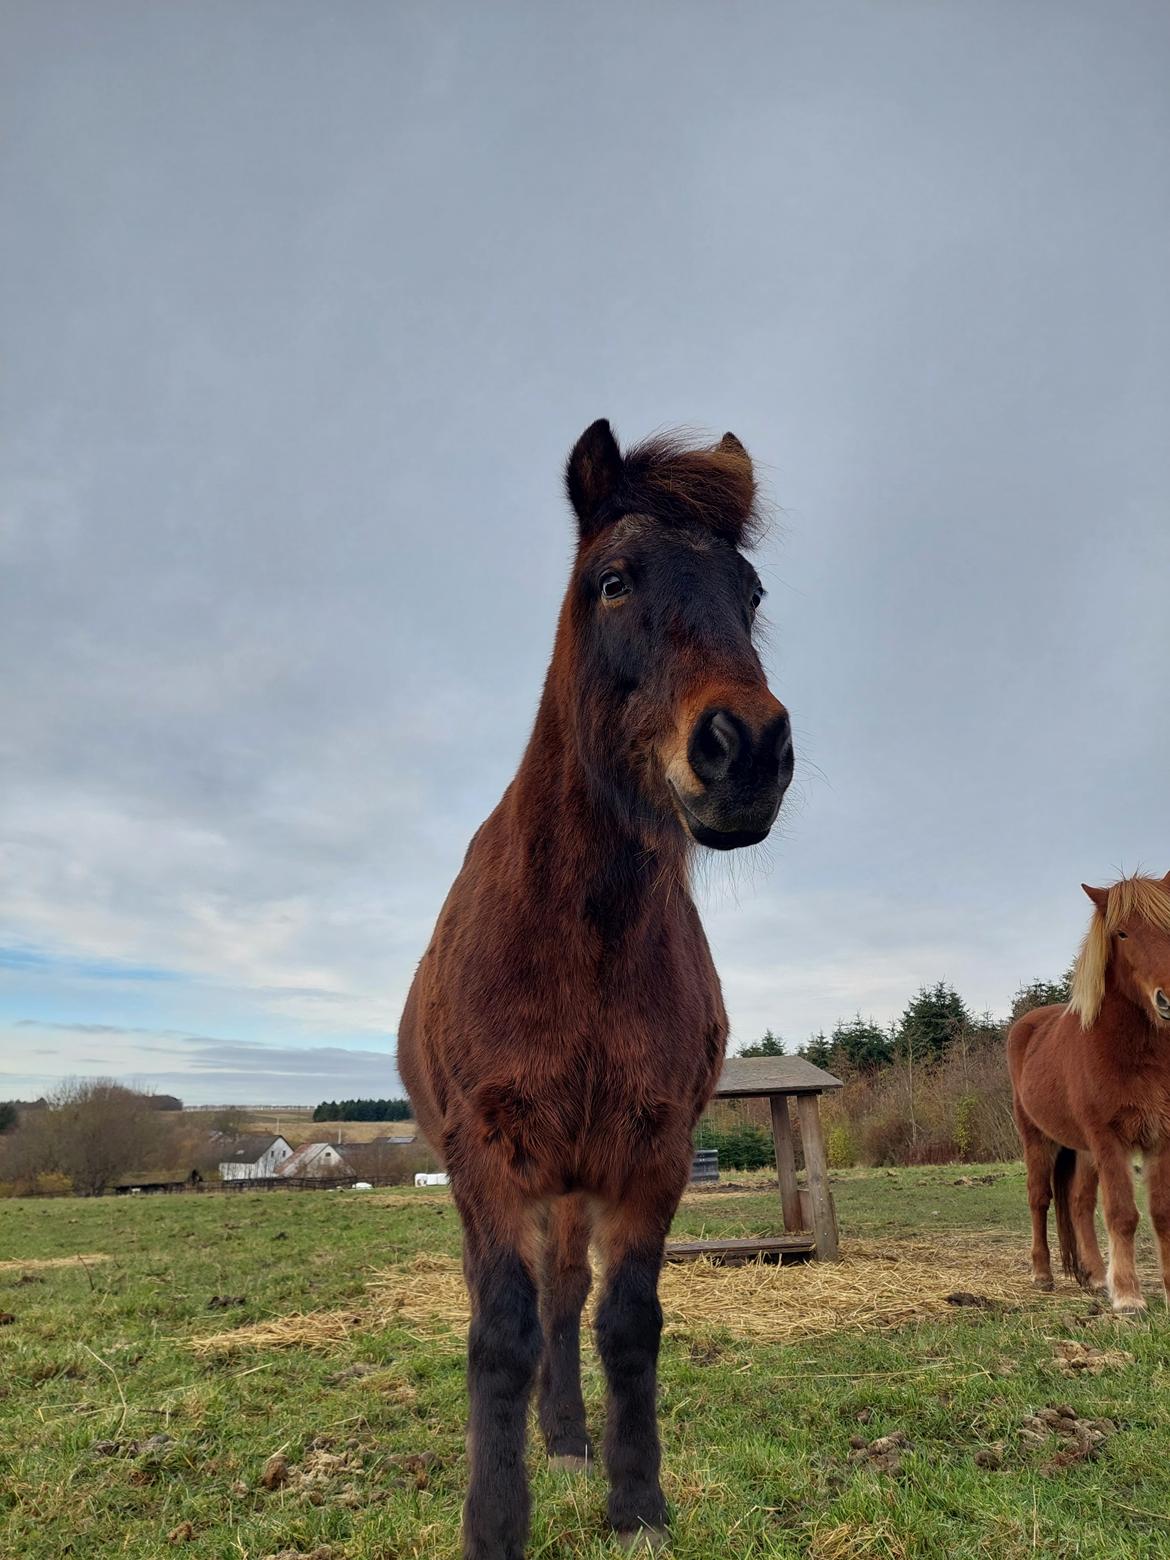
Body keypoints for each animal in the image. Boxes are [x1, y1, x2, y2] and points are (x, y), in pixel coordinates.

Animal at [399, 421, 792, 1553]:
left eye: (750, 593)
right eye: (613, 581)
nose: (747, 749)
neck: (583, 936)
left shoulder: (652, 1150)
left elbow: (627, 1323)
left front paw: (636, 1501)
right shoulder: (489, 1155)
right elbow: (499, 1333)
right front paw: (493, 1523)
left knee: (568, 1298)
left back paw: (568, 1439)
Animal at [1010, 873, 1170, 1310]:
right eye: (1122, 933)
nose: (1169, 998)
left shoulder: (1160, 1139)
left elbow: (1161, 1213)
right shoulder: (1109, 1138)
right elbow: (1123, 1214)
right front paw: (1129, 1297)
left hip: (1082, 1149)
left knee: (1080, 1205)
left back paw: (1096, 1277)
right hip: (1038, 1139)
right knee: (1039, 1198)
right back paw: (1043, 1274)